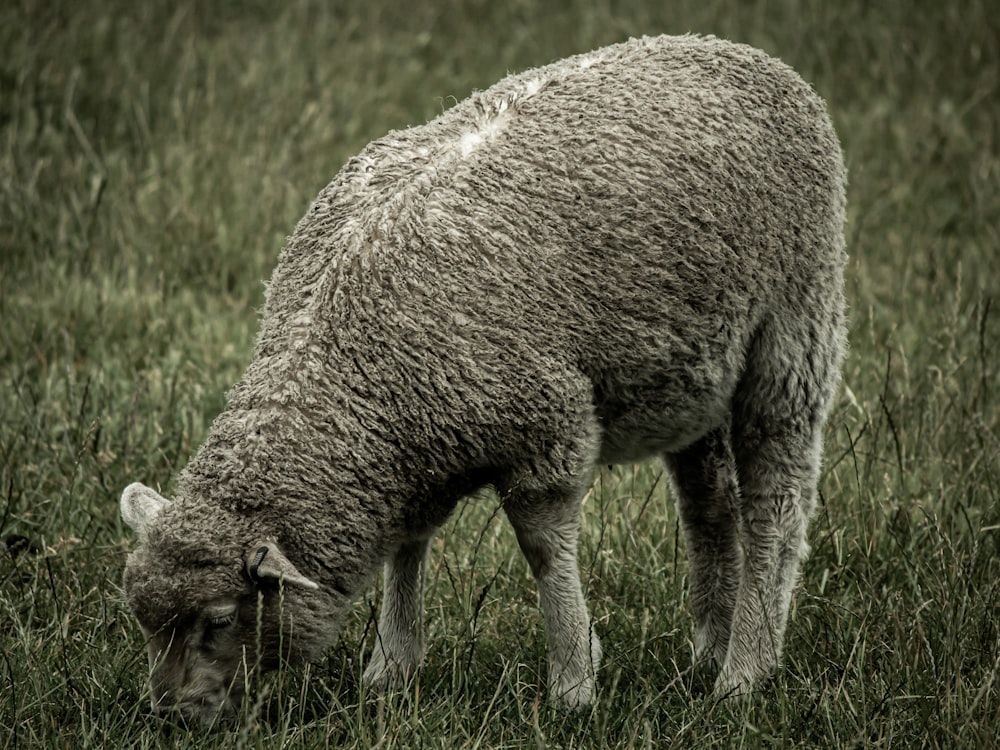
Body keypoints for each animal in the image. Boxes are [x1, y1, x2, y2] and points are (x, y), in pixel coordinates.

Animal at [121, 33, 848, 728]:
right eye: (142, 619)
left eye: (219, 620)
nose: (170, 716)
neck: (344, 361)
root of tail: (742, 52)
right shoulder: (413, 453)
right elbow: (407, 544)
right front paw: (391, 669)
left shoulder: (546, 433)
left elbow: (544, 552)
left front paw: (574, 681)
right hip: (691, 373)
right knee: (708, 503)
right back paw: (710, 646)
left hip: (793, 328)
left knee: (776, 504)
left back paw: (744, 671)